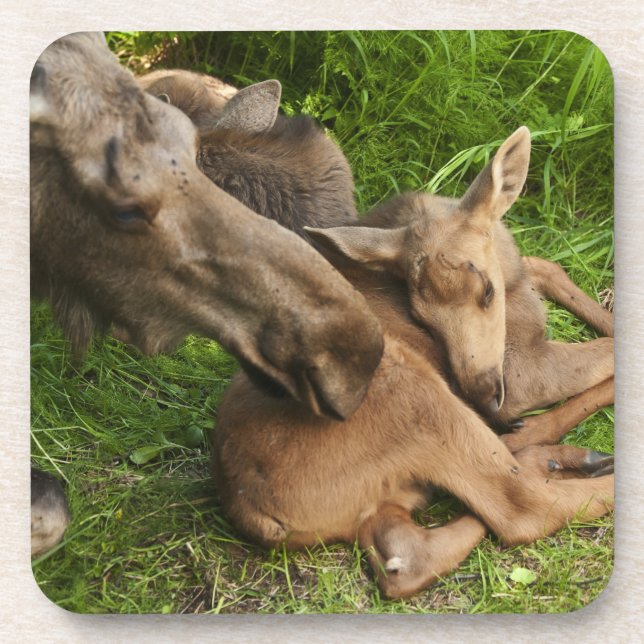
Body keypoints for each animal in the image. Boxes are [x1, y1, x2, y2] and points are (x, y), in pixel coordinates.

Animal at [211, 126, 614, 599]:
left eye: (486, 292)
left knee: (406, 561)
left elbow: (548, 266)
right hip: (413, 392)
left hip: (378, 501)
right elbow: (609, 347)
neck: (514, 284)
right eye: (422, 317)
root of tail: (250, 511)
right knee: (521, 507)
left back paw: (555, 457)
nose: (480, 393)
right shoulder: (520, 372)